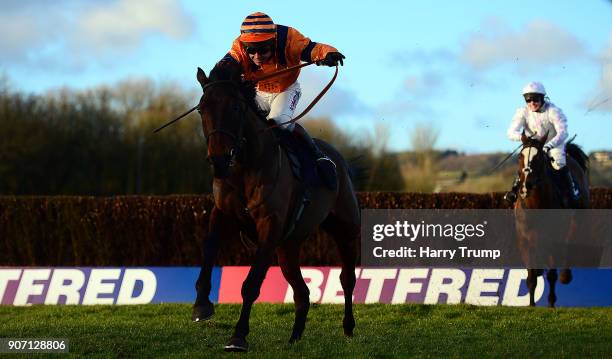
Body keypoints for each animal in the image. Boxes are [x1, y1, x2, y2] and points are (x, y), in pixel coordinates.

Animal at [192, 64, 358, 352]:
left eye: (235, 107)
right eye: (202, 108)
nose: (218, 160)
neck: (245, 166)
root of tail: (339, 161)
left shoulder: (269, 227)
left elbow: (251, 284)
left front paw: (238, 336)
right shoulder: (222, 213)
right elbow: (210, 247)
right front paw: (202, 304)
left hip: (345, 231)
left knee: (346, 279)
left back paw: (348, 327)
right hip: (287, 248)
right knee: (302, 292)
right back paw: (294, 338)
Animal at [512, 132, 592, 306]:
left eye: (538, 158)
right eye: (520, 156)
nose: (526, 185)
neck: (535, 205)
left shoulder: (554, 238)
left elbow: (552, 274)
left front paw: (550, 302)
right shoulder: (524, 241)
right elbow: (531, 277)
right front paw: (531, 305)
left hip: (578, 219)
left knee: (571, 242)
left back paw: (565, 275)